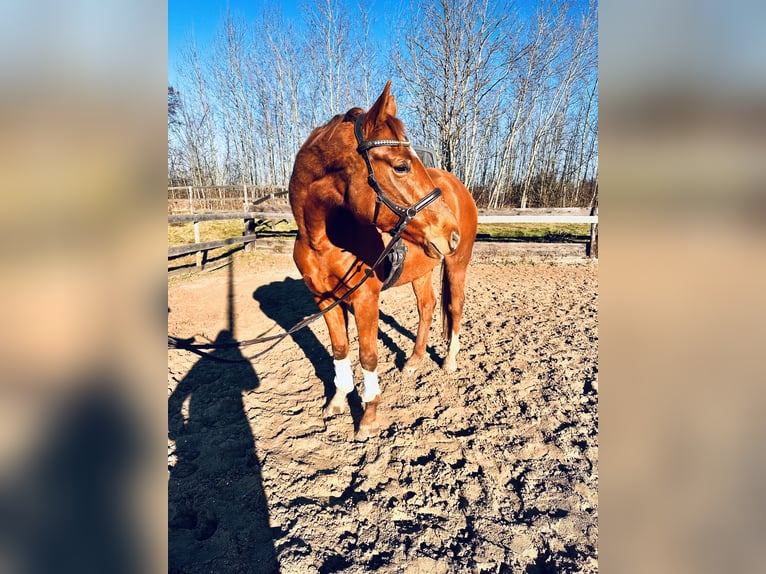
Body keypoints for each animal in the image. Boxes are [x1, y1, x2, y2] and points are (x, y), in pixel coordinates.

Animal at [290, 81, 476, 440]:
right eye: (401, 166)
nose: (452, 234)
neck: (325, 238)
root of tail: (458, 186)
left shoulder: (365, 297)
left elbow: (368, 355)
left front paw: (369, 415)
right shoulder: (325, 300)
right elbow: (340, 350)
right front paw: (337, 400)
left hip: (456, 265)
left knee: (455, 306)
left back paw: (449, 361)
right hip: (423, 269)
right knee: (428, 307)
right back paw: (414, 361)